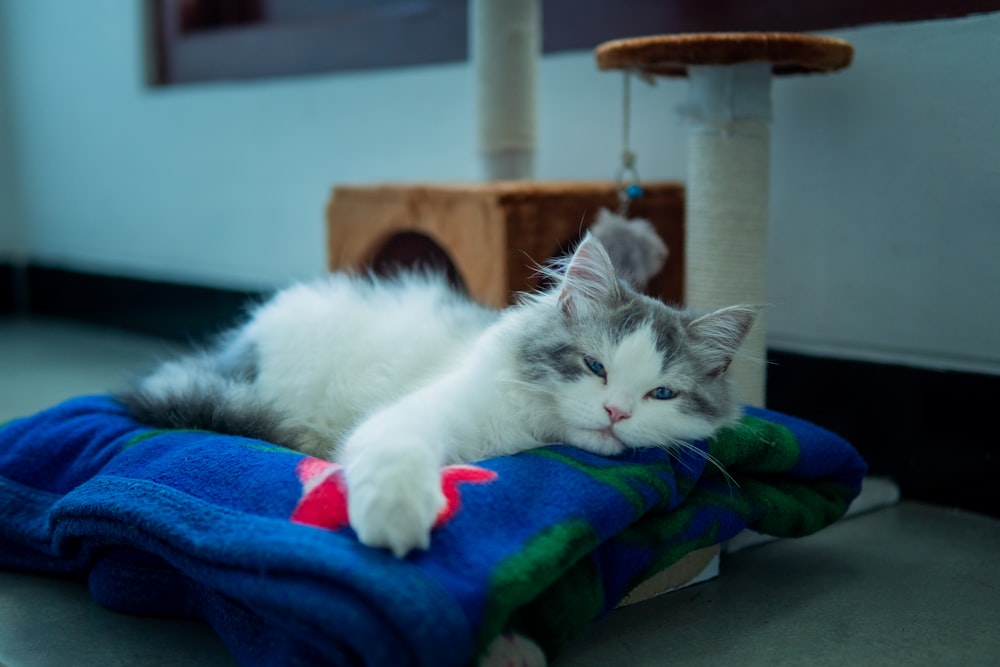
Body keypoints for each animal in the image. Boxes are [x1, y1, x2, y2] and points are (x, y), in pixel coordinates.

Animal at [117, 232, 752, 556]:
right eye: (594, 366)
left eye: (661, 393)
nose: (616, 411)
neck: (531, 435)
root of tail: (238, 343)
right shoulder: (416, 415)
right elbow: (397, 456)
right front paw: (398, 521)